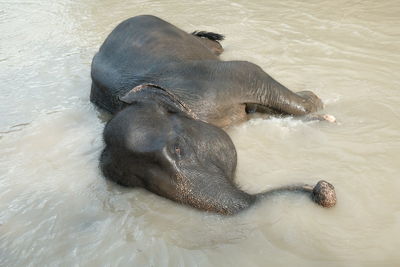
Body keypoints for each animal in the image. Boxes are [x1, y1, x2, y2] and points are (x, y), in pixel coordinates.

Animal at [89, 14, 336, 216]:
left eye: (178, 149)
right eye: (136, 182)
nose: (321, 189)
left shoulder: (209, 81)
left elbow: (249, 70)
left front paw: (315, 102)